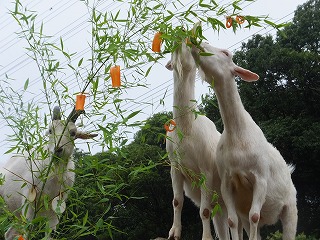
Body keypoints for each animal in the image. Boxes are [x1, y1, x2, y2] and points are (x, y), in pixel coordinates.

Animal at [0, 107, 97, 240]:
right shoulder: (28, 200)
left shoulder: (55, 208)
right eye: (50, 130)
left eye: (73, 133)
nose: (58, 149)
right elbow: (28, 230)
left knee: (10, 233)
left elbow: (50, 234)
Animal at [165, 41, 230, 240]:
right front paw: (174, 232)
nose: (177, 39)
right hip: (221, 206)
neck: (186, 129)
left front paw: (206, 237)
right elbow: (177, 201)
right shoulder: (175, 166)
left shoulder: (206, 170)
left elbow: (204, 211)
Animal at [190, 42, 298, 240]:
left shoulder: (260, 177)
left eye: (226, 53)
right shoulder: (227, 181)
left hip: (290, 207)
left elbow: (254, 215)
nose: (197, 43)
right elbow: (233, 220)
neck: (237, 135)